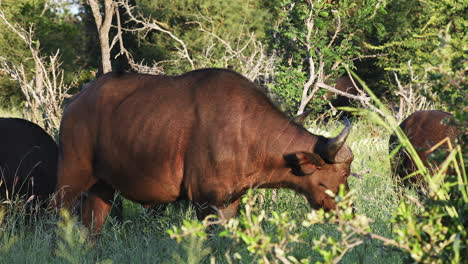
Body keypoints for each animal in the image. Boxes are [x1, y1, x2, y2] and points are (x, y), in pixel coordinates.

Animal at [54, 68, 352, 233]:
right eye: (338, 177)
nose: (346, 211)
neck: (246, 134)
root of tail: (74, 103)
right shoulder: (205, 203)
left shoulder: (230, 203)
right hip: (69, 182)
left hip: (102, 189)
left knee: (92, 232)